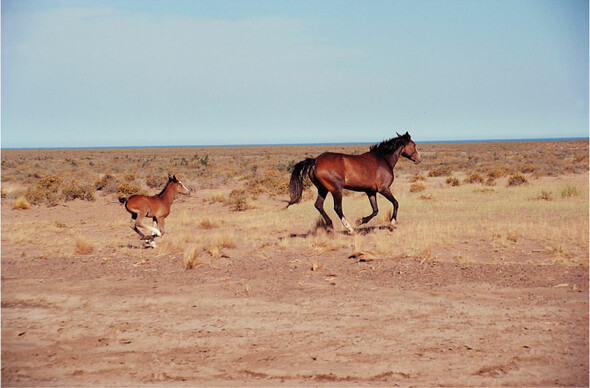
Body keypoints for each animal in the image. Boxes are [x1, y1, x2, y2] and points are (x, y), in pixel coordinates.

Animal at [290, 132, 424, 232]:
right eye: (414, 145)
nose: (418, 159)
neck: (383, 159)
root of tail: (315, 161)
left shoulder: (371, 191)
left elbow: (375, 210)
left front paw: (361, 221)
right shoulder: (384, 189)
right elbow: (395, 203)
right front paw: (392, 224)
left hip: (323, 189)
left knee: (318, 205)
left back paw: (330, 225)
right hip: (336, 189)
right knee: (337, 208)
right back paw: (349, 229)